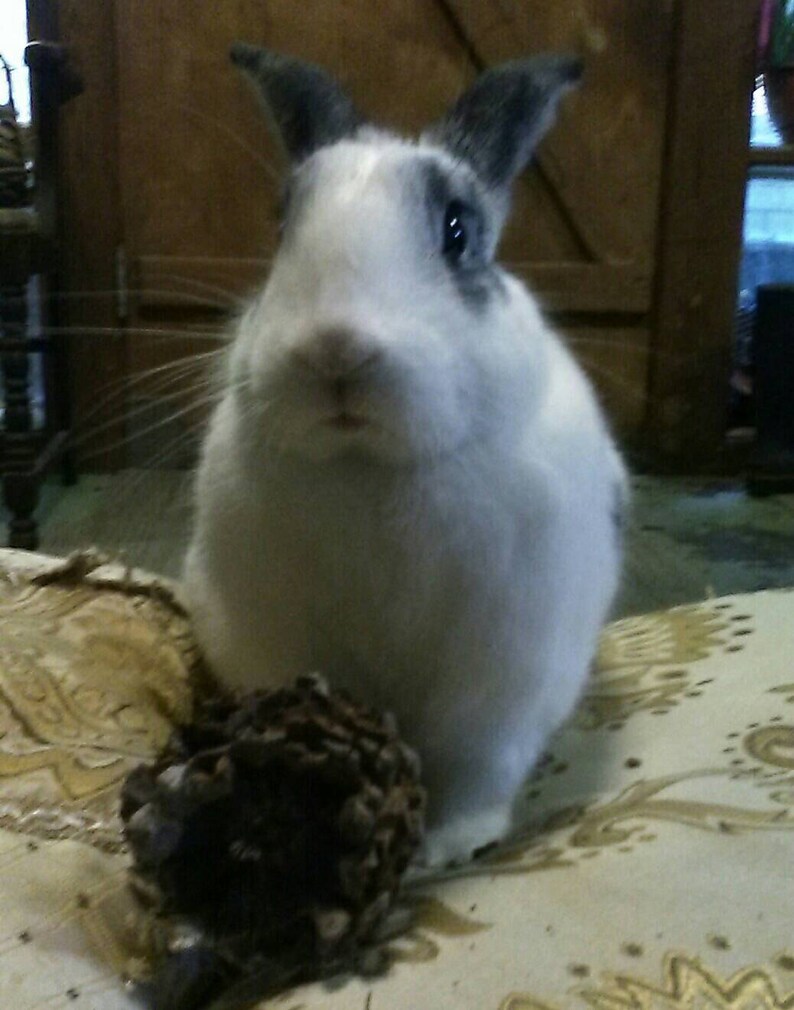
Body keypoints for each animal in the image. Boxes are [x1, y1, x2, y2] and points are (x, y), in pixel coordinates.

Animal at [183, 45, 629, 869]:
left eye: (457, 232)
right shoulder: (269, 635)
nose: (335, 350)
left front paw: (446, 850)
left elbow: (476, 773)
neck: (365, 465)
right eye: (281, 226)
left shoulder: (501, 675)